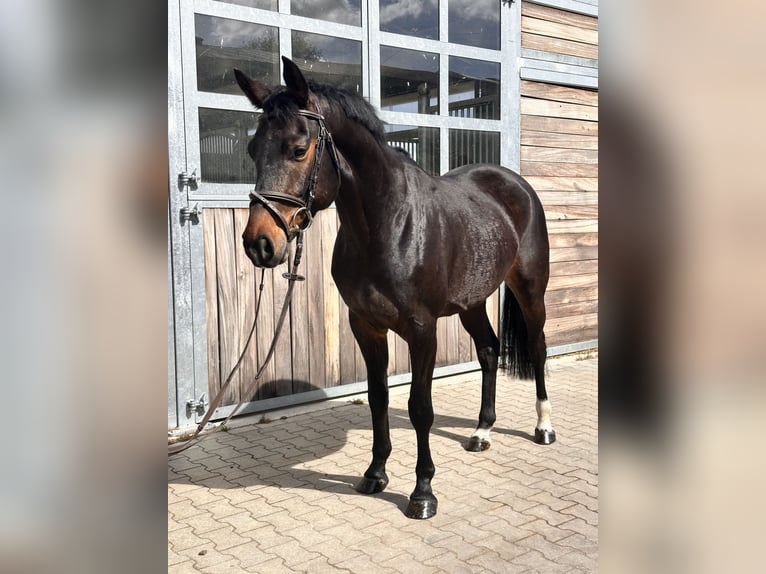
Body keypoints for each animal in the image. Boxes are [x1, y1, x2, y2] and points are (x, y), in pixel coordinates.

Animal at [234, 57, 555, 519]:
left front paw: (423, 493)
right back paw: (481, 432)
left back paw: (544, 427)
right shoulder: (366, 325)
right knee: (489, 350)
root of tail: (515, 183)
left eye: (298, 149)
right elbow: (378, 397)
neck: (388, 223)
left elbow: (420, 408)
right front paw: (375, 473)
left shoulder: (422, 330)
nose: (259, 244)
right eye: (253, 150)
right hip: (472, 301)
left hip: (530, 290)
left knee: (538, 348)